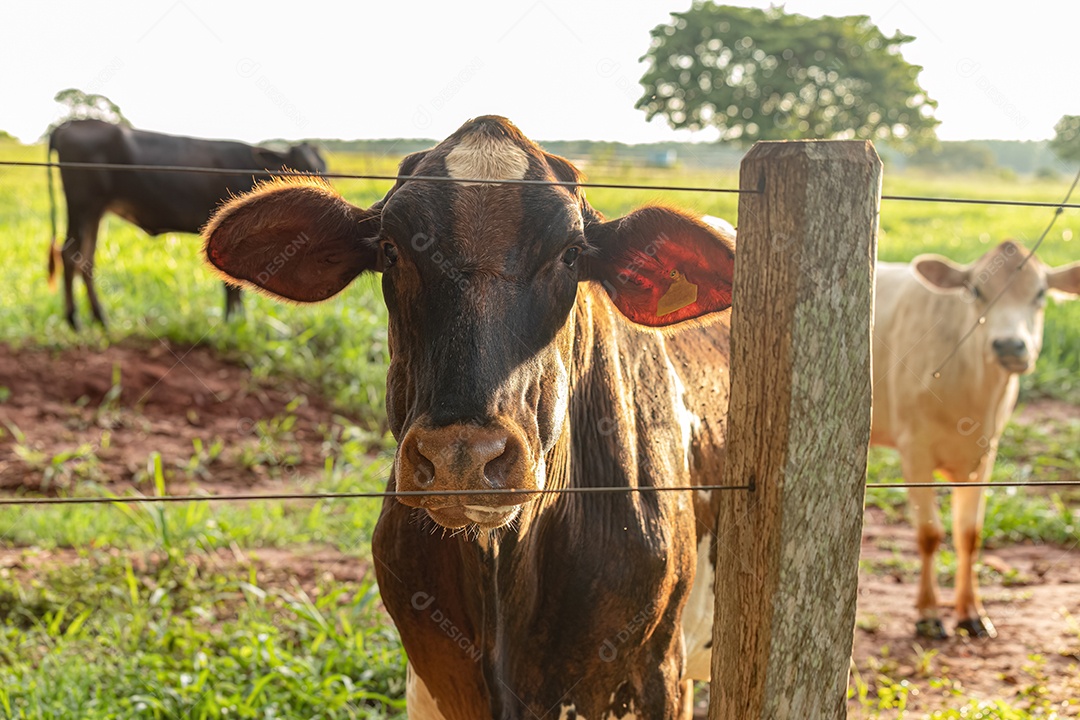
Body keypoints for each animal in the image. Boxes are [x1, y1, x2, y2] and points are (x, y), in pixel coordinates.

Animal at [47, 119, 324, 328]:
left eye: (323, 168)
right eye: (298, 168)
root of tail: (71, 124)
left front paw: (237, 322)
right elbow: (231, 285)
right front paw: (232, 324)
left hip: (95, 211)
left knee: (86, 258)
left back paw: (99, 319)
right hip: (83, 206)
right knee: (70, 254)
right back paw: (75, 321)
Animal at [872, 243, 1075, 643]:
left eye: (1040, 293)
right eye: (976, 291)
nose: (1009, 345)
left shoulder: (984, 452)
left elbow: (969, 534)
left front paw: (971, 614)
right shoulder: (914, 449)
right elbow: (929, 533)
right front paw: (928, 614)